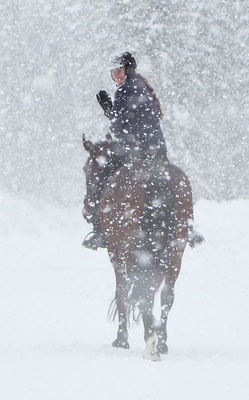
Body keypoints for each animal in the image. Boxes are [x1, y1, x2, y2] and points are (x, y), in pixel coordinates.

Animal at [82, 135, 194, 362]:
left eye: (86, 169)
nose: (86, 209)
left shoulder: (116, 254)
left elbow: (122, 292)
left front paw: (121, 340)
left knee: (144, 294)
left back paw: (150, 344)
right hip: (175, 254)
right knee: (166, 295)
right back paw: (161, 343)